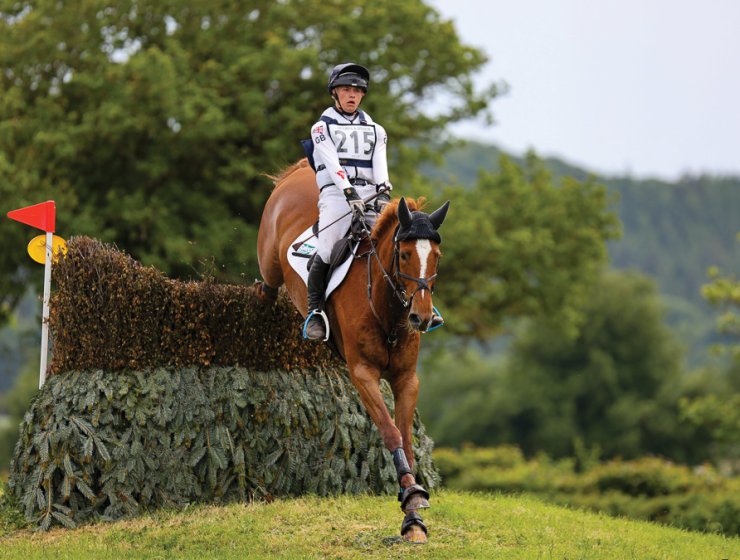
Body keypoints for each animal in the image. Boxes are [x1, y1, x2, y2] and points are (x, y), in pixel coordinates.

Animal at [255, 159, 449, 543]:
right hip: (269, 266)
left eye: (435, 256)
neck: (388, 311)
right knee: (265, 288)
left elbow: (405, 438)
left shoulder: (406, 379)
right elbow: (390, 432)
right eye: (405, 254)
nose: (420, 317)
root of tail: (298, 172)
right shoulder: (363, 374)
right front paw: (410, 496)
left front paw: (413, 516)